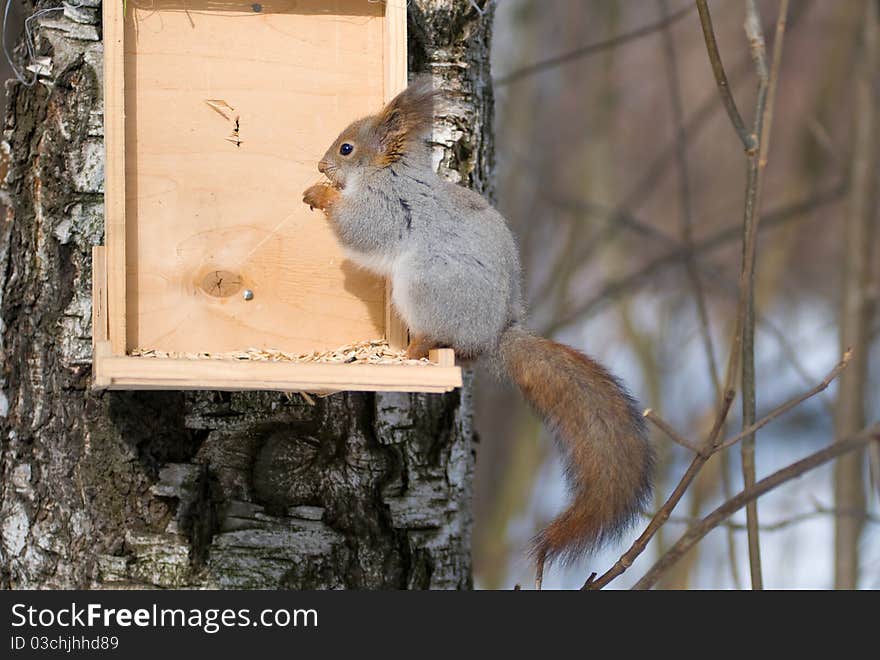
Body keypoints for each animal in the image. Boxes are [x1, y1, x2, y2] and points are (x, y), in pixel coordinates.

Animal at [302, 77, 652, 580]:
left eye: (347, 148)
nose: (320, 165)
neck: (389, 170)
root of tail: (493, 337)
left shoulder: (385, 206)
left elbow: (360, 230)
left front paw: (321, 194)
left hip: (424, 287)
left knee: (432, 336)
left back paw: (411, 353)